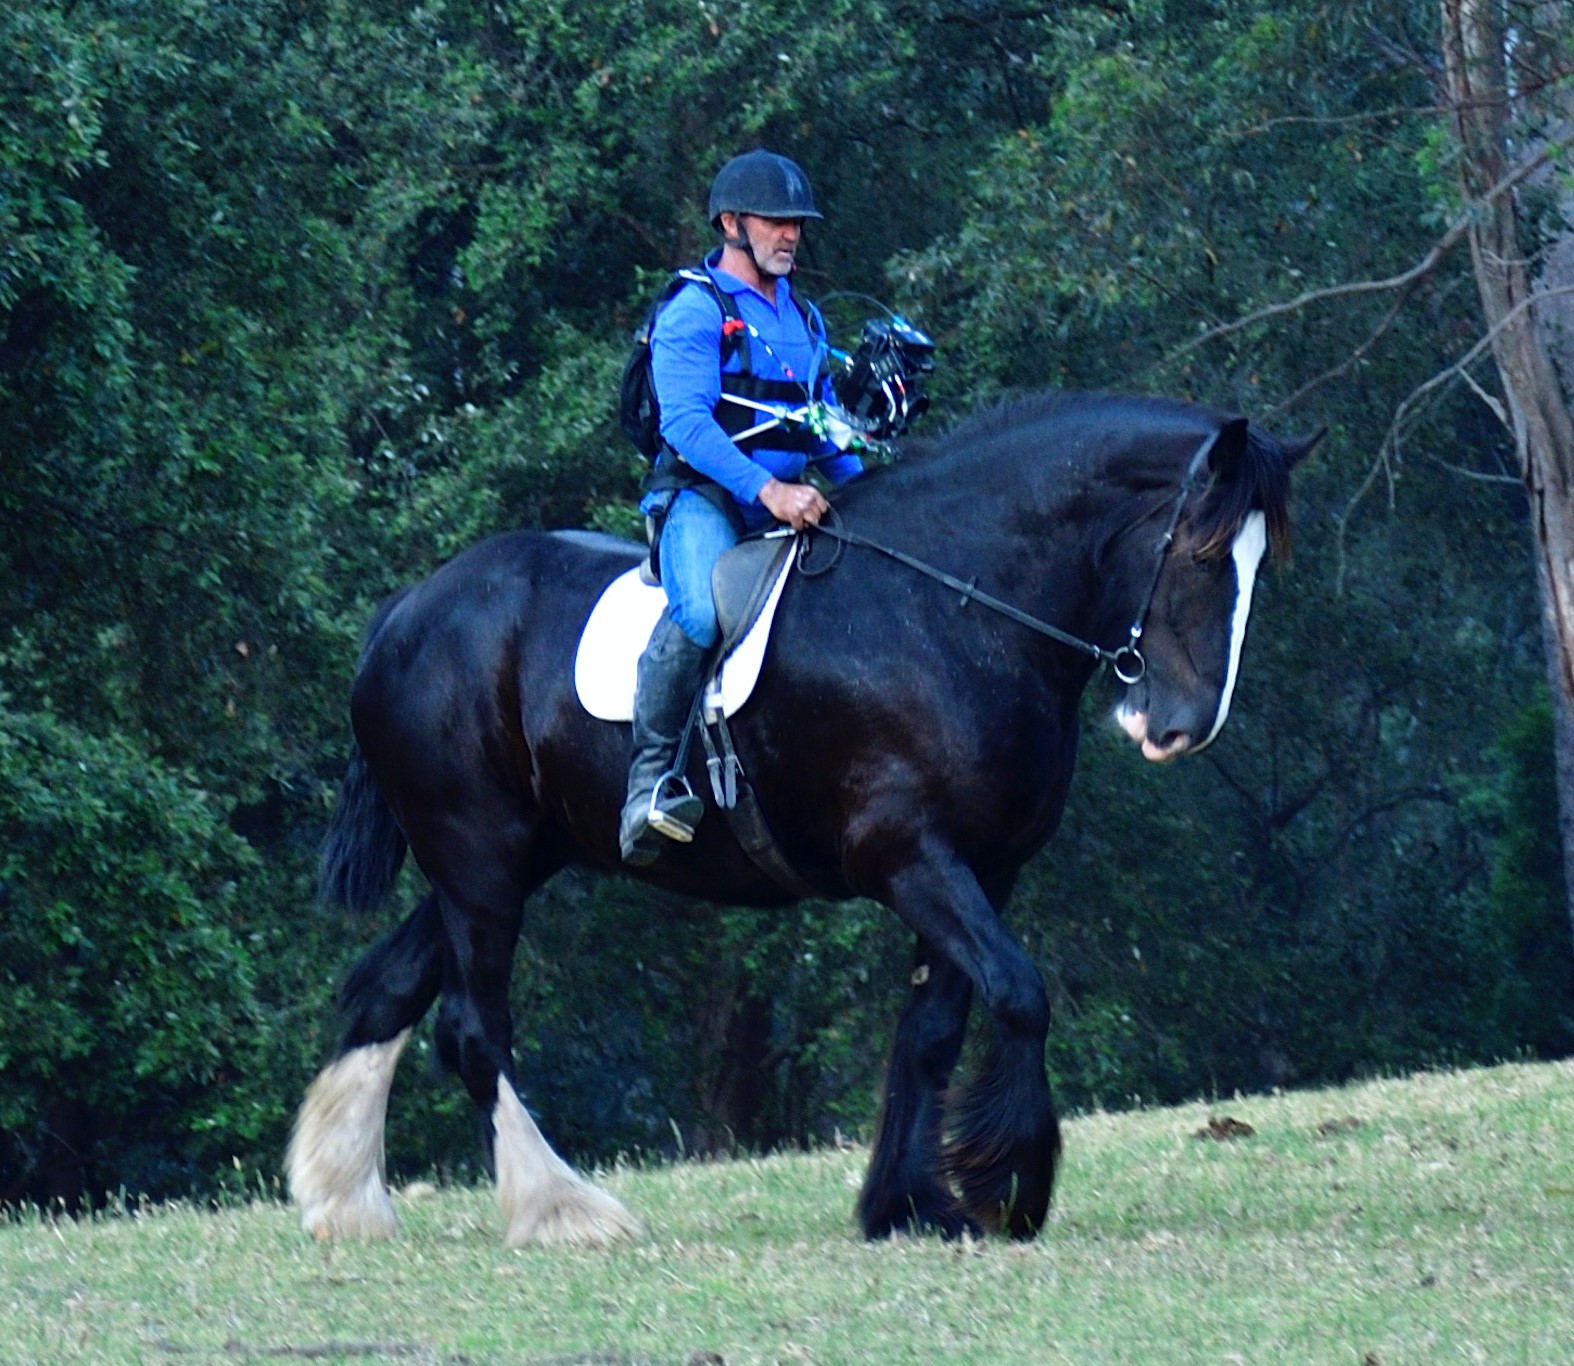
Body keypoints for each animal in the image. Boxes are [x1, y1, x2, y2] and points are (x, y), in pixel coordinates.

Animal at [286, 391, 1316, 1248]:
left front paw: (910, 1203)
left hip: (494, 867)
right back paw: (562, 1210)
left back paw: (344, 1200)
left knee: (387, 993)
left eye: (1260, 566)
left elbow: (933, 1030)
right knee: (472, 1027)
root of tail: (405, 614)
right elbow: (1020, 994)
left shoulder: (980, 869)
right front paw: (1009, 1188)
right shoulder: (910, 859)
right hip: (480, 867)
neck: (946, 609)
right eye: (1197, 554)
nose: (1178, 728)